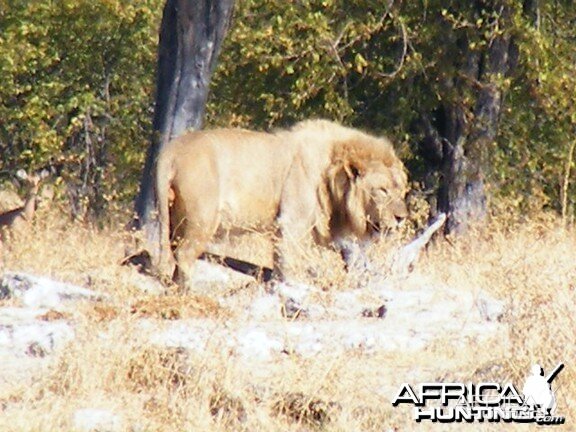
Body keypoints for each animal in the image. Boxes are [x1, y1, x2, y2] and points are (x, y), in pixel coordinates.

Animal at [156, 120, 410, 290]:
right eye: (383, 190)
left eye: (400, 190)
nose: (401, 218)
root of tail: (172, 150)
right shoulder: (292, 221)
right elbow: (289, 258)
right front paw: (292, 287)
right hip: (202, 218)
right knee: (184, 255)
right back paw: (188, 292)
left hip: (175, 219)